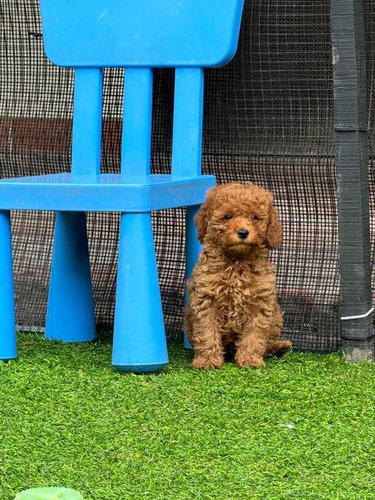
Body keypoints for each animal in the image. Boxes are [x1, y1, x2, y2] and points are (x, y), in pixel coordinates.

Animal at [187, 182, 292, 370]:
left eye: (255, 217)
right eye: (227, 216)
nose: (243, 232)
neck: (237, 263)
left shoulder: (261, 303)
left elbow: (254, 335)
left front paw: (250, 360)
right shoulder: (206, 301)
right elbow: (207, 332)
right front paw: (207, 361)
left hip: (276, 317)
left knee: (268, 342)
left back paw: (277, 347)